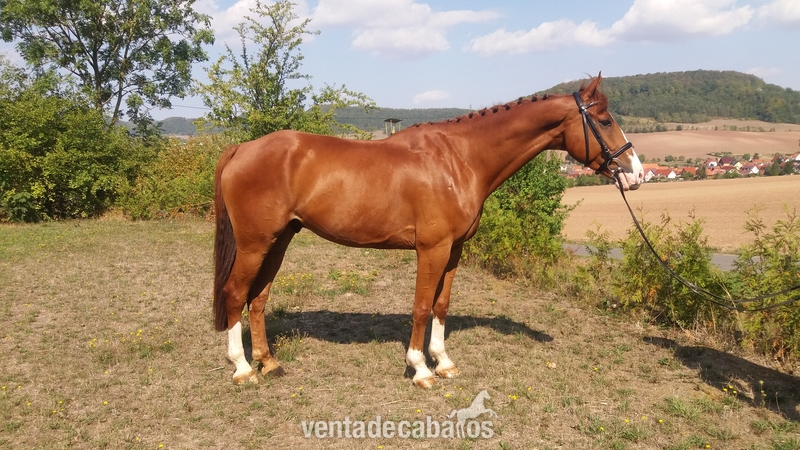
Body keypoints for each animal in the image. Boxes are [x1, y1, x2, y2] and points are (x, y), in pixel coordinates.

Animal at [212, 73, 645, 388]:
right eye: (604, 120)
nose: (637, 174)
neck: (459, 159)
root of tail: (241, 148)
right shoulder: (431, 249)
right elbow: (421, 306)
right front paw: (420, 369)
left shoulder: (453, 250)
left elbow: (441, 305)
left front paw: (444, 362)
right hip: (254, 244)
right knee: (235, 293)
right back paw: (243, 368)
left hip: (279, 241)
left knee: (258, 298)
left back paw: (268, 362)